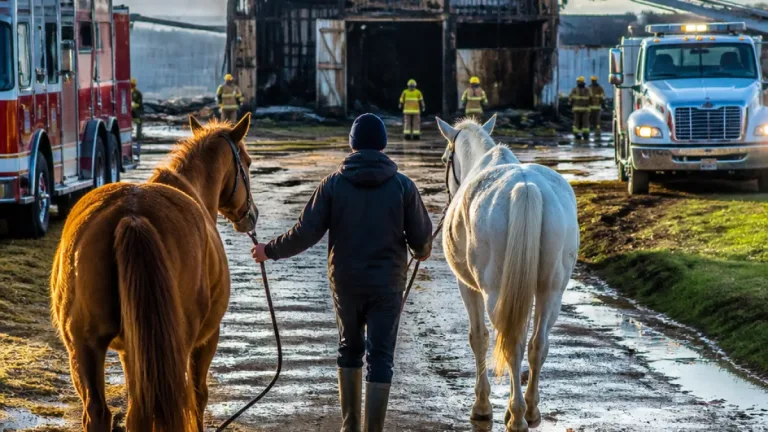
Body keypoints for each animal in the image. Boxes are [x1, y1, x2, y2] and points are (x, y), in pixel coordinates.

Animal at [50, 114, 258, 432]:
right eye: (246, 162)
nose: (252, 215)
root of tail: (131, 215)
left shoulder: (129, 349)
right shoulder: (206, 339)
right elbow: (198, 396)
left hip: (85, 346)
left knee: (101, 412)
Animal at [436, 116, 579, 432]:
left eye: (445, 157)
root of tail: (526, 188)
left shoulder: (468, 287)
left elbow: (478, 338)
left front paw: (482, 406)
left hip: (495, 291)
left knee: (512, 342)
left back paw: (516, 415)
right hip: (551, 290)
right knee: (537, 343)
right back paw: (532, 409)